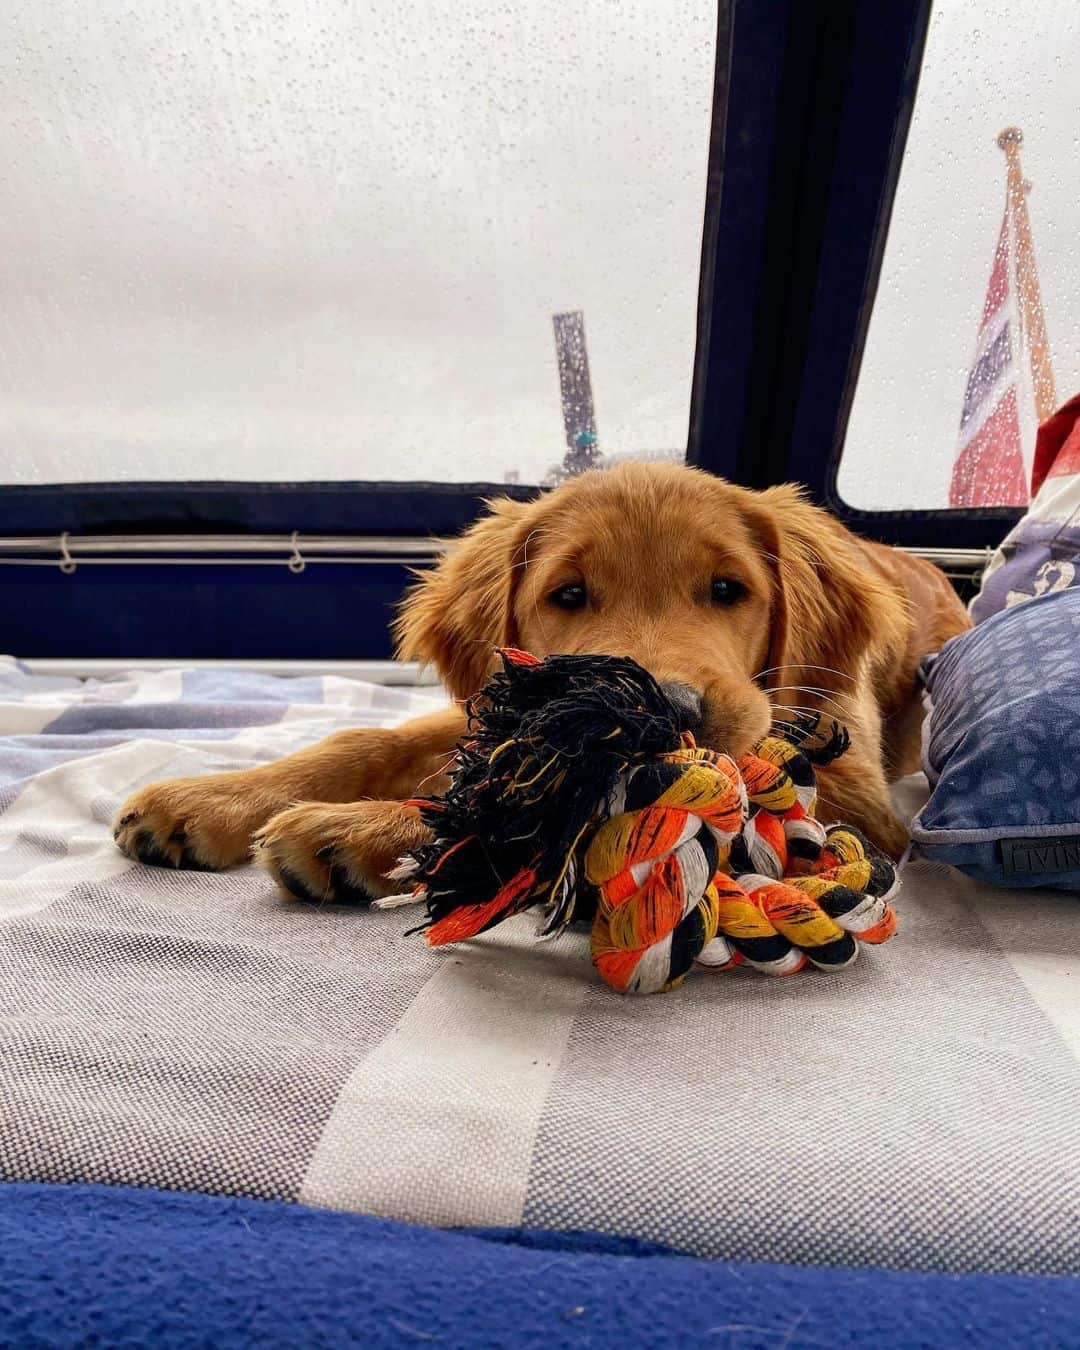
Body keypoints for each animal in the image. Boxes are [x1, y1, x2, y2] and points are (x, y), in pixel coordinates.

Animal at [114, 464, 966, 896]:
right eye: (568, 594)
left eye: (728, 589)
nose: (662, 715)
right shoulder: (509, 701)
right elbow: (364, 739)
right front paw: (210, 799)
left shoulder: (858, 803)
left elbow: (523, 812)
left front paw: (352, 830)